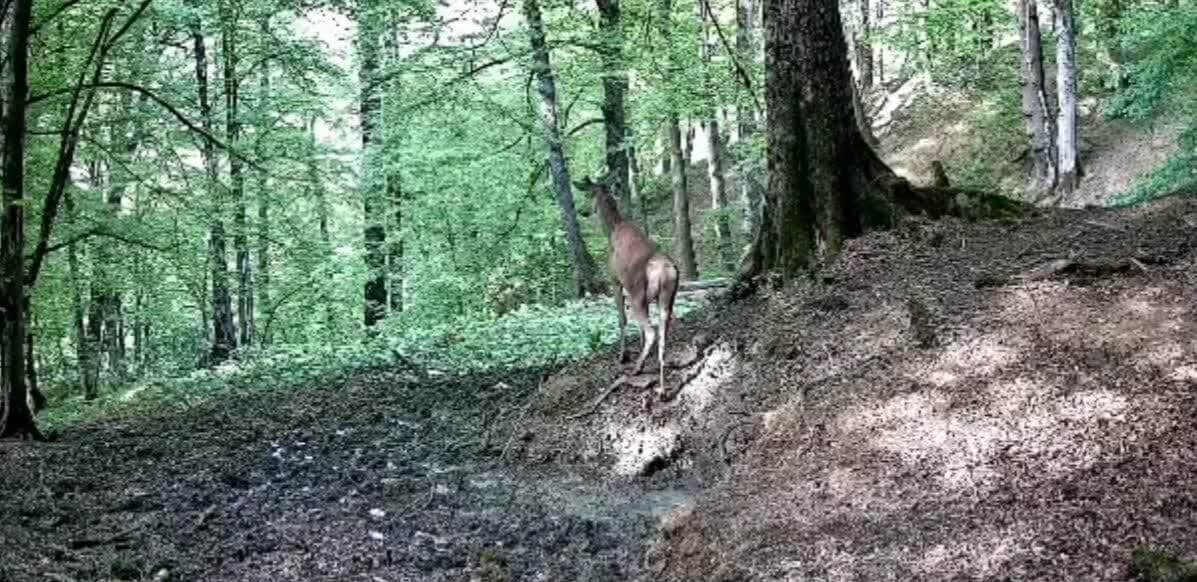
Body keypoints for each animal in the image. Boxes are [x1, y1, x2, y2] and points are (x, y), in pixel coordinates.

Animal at [574, 174, 679, 392]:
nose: (582, 210)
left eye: (588, 194)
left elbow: (621, 319)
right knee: (663, 331)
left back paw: (638, 367)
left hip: (638, 292)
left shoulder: (615, 281)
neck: (612, 230)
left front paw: (623, 356)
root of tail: (664, 270)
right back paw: (661, 377)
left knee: (652, 331)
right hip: (667, 296)